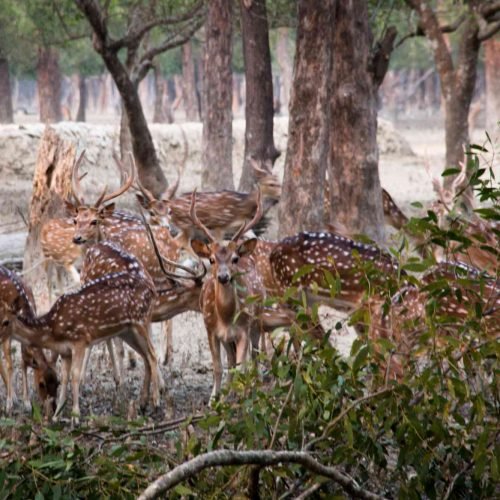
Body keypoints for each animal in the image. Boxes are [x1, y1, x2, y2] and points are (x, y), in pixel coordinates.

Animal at [0, 266, 59, 414]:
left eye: (58, 383)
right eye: (41, 384)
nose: (53, 408)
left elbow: (23, 361)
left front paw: (26, 402)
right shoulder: (6, 333)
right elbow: (10, 364)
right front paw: (9, 402)